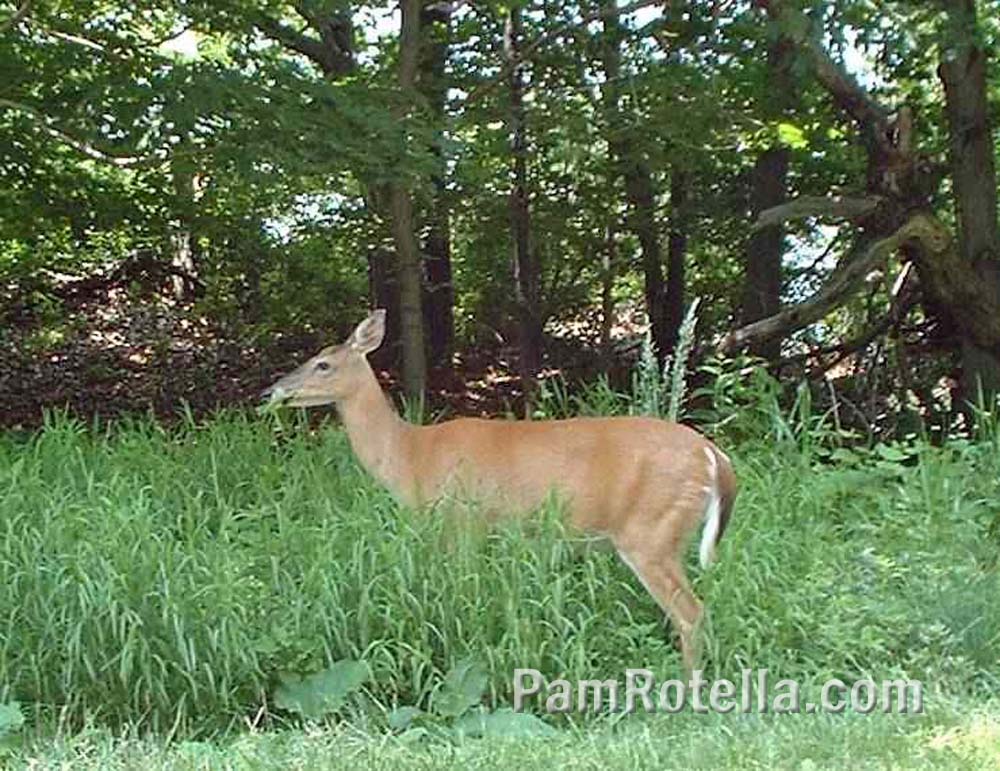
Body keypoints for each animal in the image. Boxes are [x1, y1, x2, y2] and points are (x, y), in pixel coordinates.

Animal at [264, 310, 736, 672]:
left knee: (691, 612)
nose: (273, 389)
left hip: (650, 531)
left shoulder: (461, 521)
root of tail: (714, 457)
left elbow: (461, 597)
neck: (411, 456)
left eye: (323, 364)